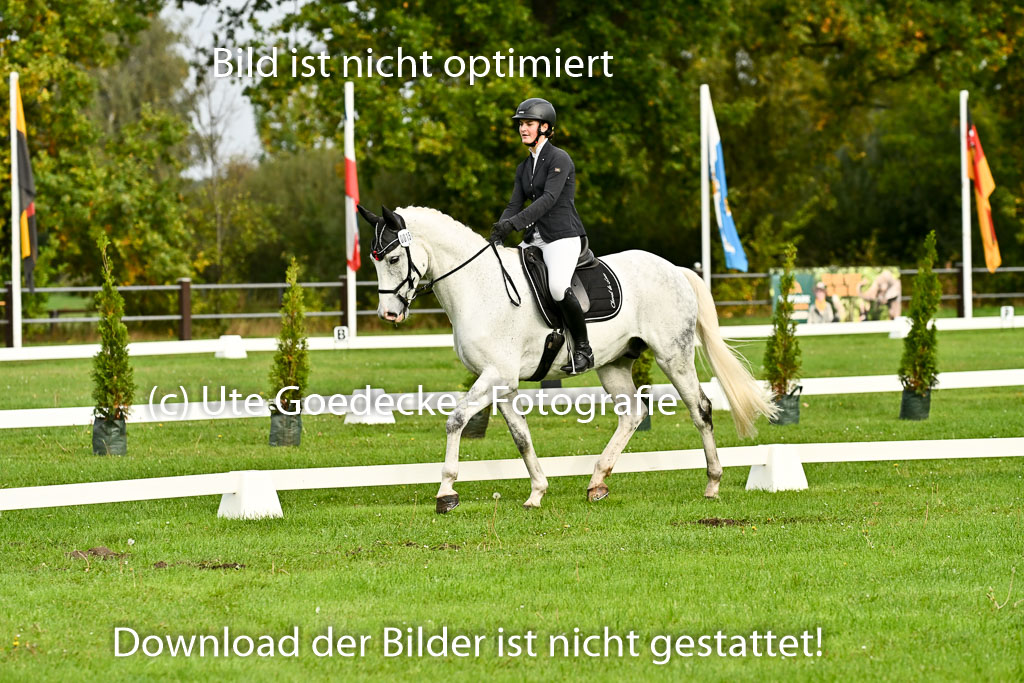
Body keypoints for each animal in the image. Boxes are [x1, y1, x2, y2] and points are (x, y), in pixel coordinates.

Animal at [358, 205, 776, 513]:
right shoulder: (502, 383)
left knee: (699, 408)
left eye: (392, 258)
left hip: (673, 355)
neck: (479, 287)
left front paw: (446, 492)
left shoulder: (495, 376)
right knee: (632, 414)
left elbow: (456, 420)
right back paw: (597, 482)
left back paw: (712, 483)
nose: (388, 315)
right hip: (614, 365)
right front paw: (537, 493)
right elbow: (521, 436)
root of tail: (673, 269)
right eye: (374, 260)